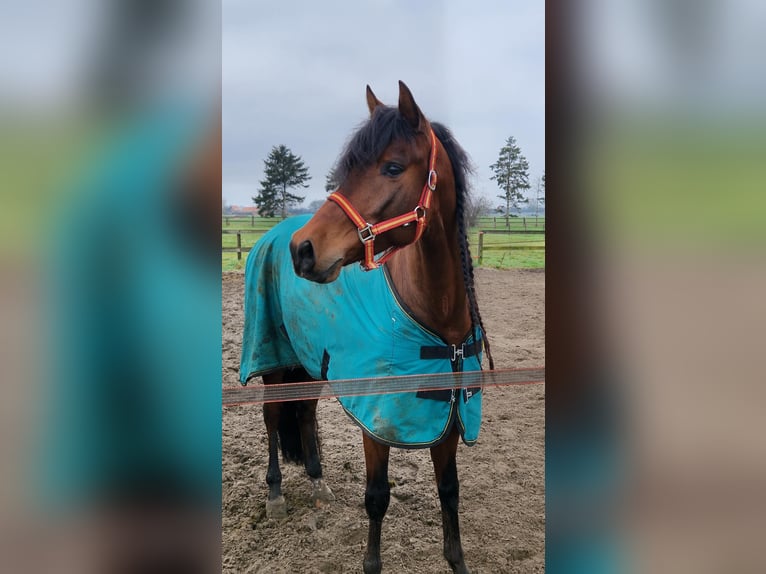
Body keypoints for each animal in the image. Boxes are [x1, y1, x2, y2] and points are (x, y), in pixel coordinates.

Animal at [239, 81, 494, 574]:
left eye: (392, 167)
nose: (303, 250)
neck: (439, 324)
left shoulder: (449, 419)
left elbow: (449, 493)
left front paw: (457, 560)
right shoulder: (376, 424)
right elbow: (377, 498)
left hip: (309, 362)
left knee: (303, 412)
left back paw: (318, 484)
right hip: (274, 360)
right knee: (273, 416)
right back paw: (275, 494)